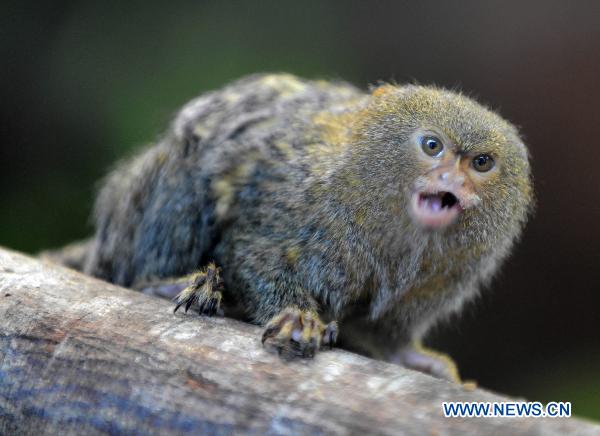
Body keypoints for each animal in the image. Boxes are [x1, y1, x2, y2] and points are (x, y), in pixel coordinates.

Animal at [48, 74, 536, 382]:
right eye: (432, 146)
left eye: (481, 163)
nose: (452, 179)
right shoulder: (299, 202)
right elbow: (257, 254)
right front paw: (297, 318)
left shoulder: (446, 273)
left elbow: (383, 330)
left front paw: (409, 355)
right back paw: (164, 284)